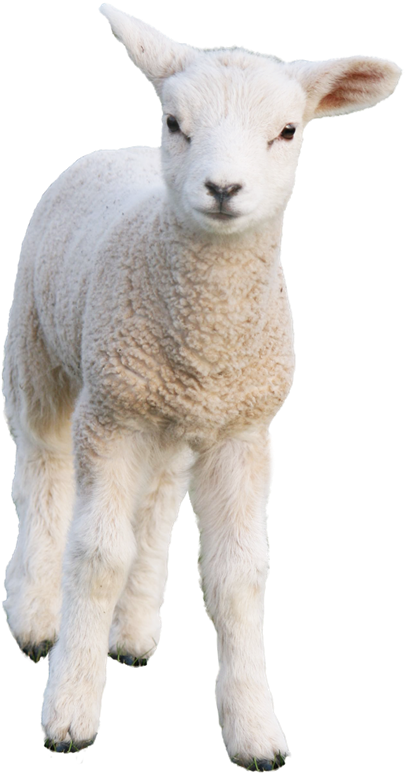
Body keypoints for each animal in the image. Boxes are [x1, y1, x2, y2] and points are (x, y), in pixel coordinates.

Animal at [2, 1, 402, 765]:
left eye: (288, 131)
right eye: (175, 122)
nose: (222, 189)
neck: (205, 334)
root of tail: (112, 152)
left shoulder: (245, 432)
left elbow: (239, 575)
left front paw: (255, 729)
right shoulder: (110, 414)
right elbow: (96, 554)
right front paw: (70, 712)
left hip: (163, 415)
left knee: (157, 503)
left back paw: (132, 634)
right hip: (40, 352)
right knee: (41, 469)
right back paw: (35, 616)